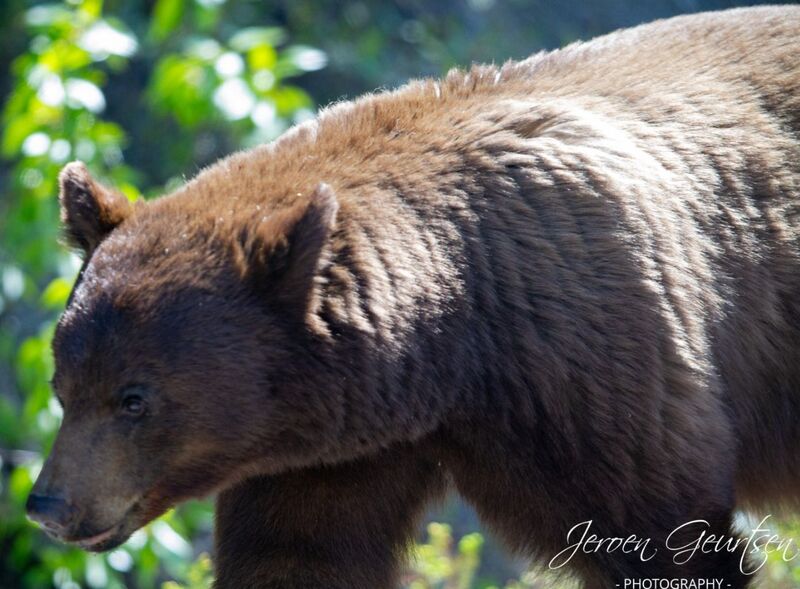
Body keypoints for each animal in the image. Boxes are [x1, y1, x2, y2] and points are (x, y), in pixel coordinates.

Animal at [25, 5, 800, 588]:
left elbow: (666, 531)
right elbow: (298, 555)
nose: (47, 504)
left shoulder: (593, 354)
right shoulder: (331, 450)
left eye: (134, 398)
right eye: (63, 386)